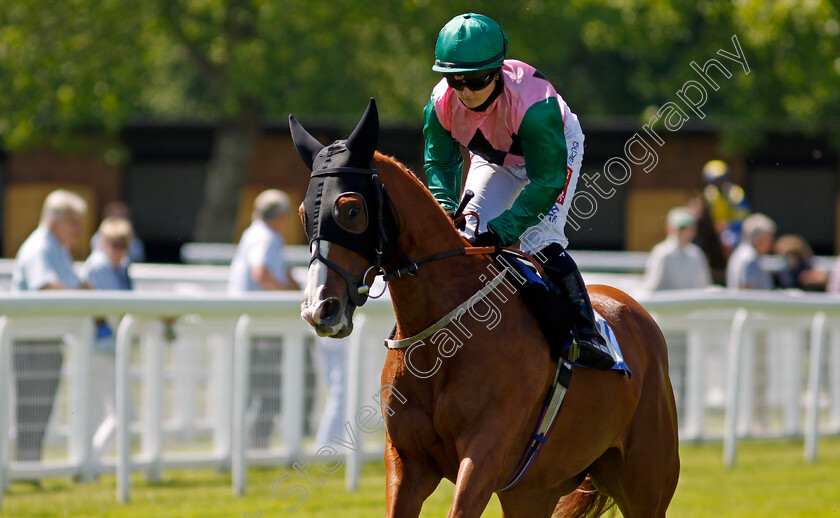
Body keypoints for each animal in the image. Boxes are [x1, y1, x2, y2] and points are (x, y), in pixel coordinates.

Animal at [292, 99, 680, 516]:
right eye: (303, 213)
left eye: (350, 210)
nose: (320, 308)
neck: (444, 342)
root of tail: (635, 310)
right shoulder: (406, 462)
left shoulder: (485, 456)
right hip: (534, 492)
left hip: (645, 486)